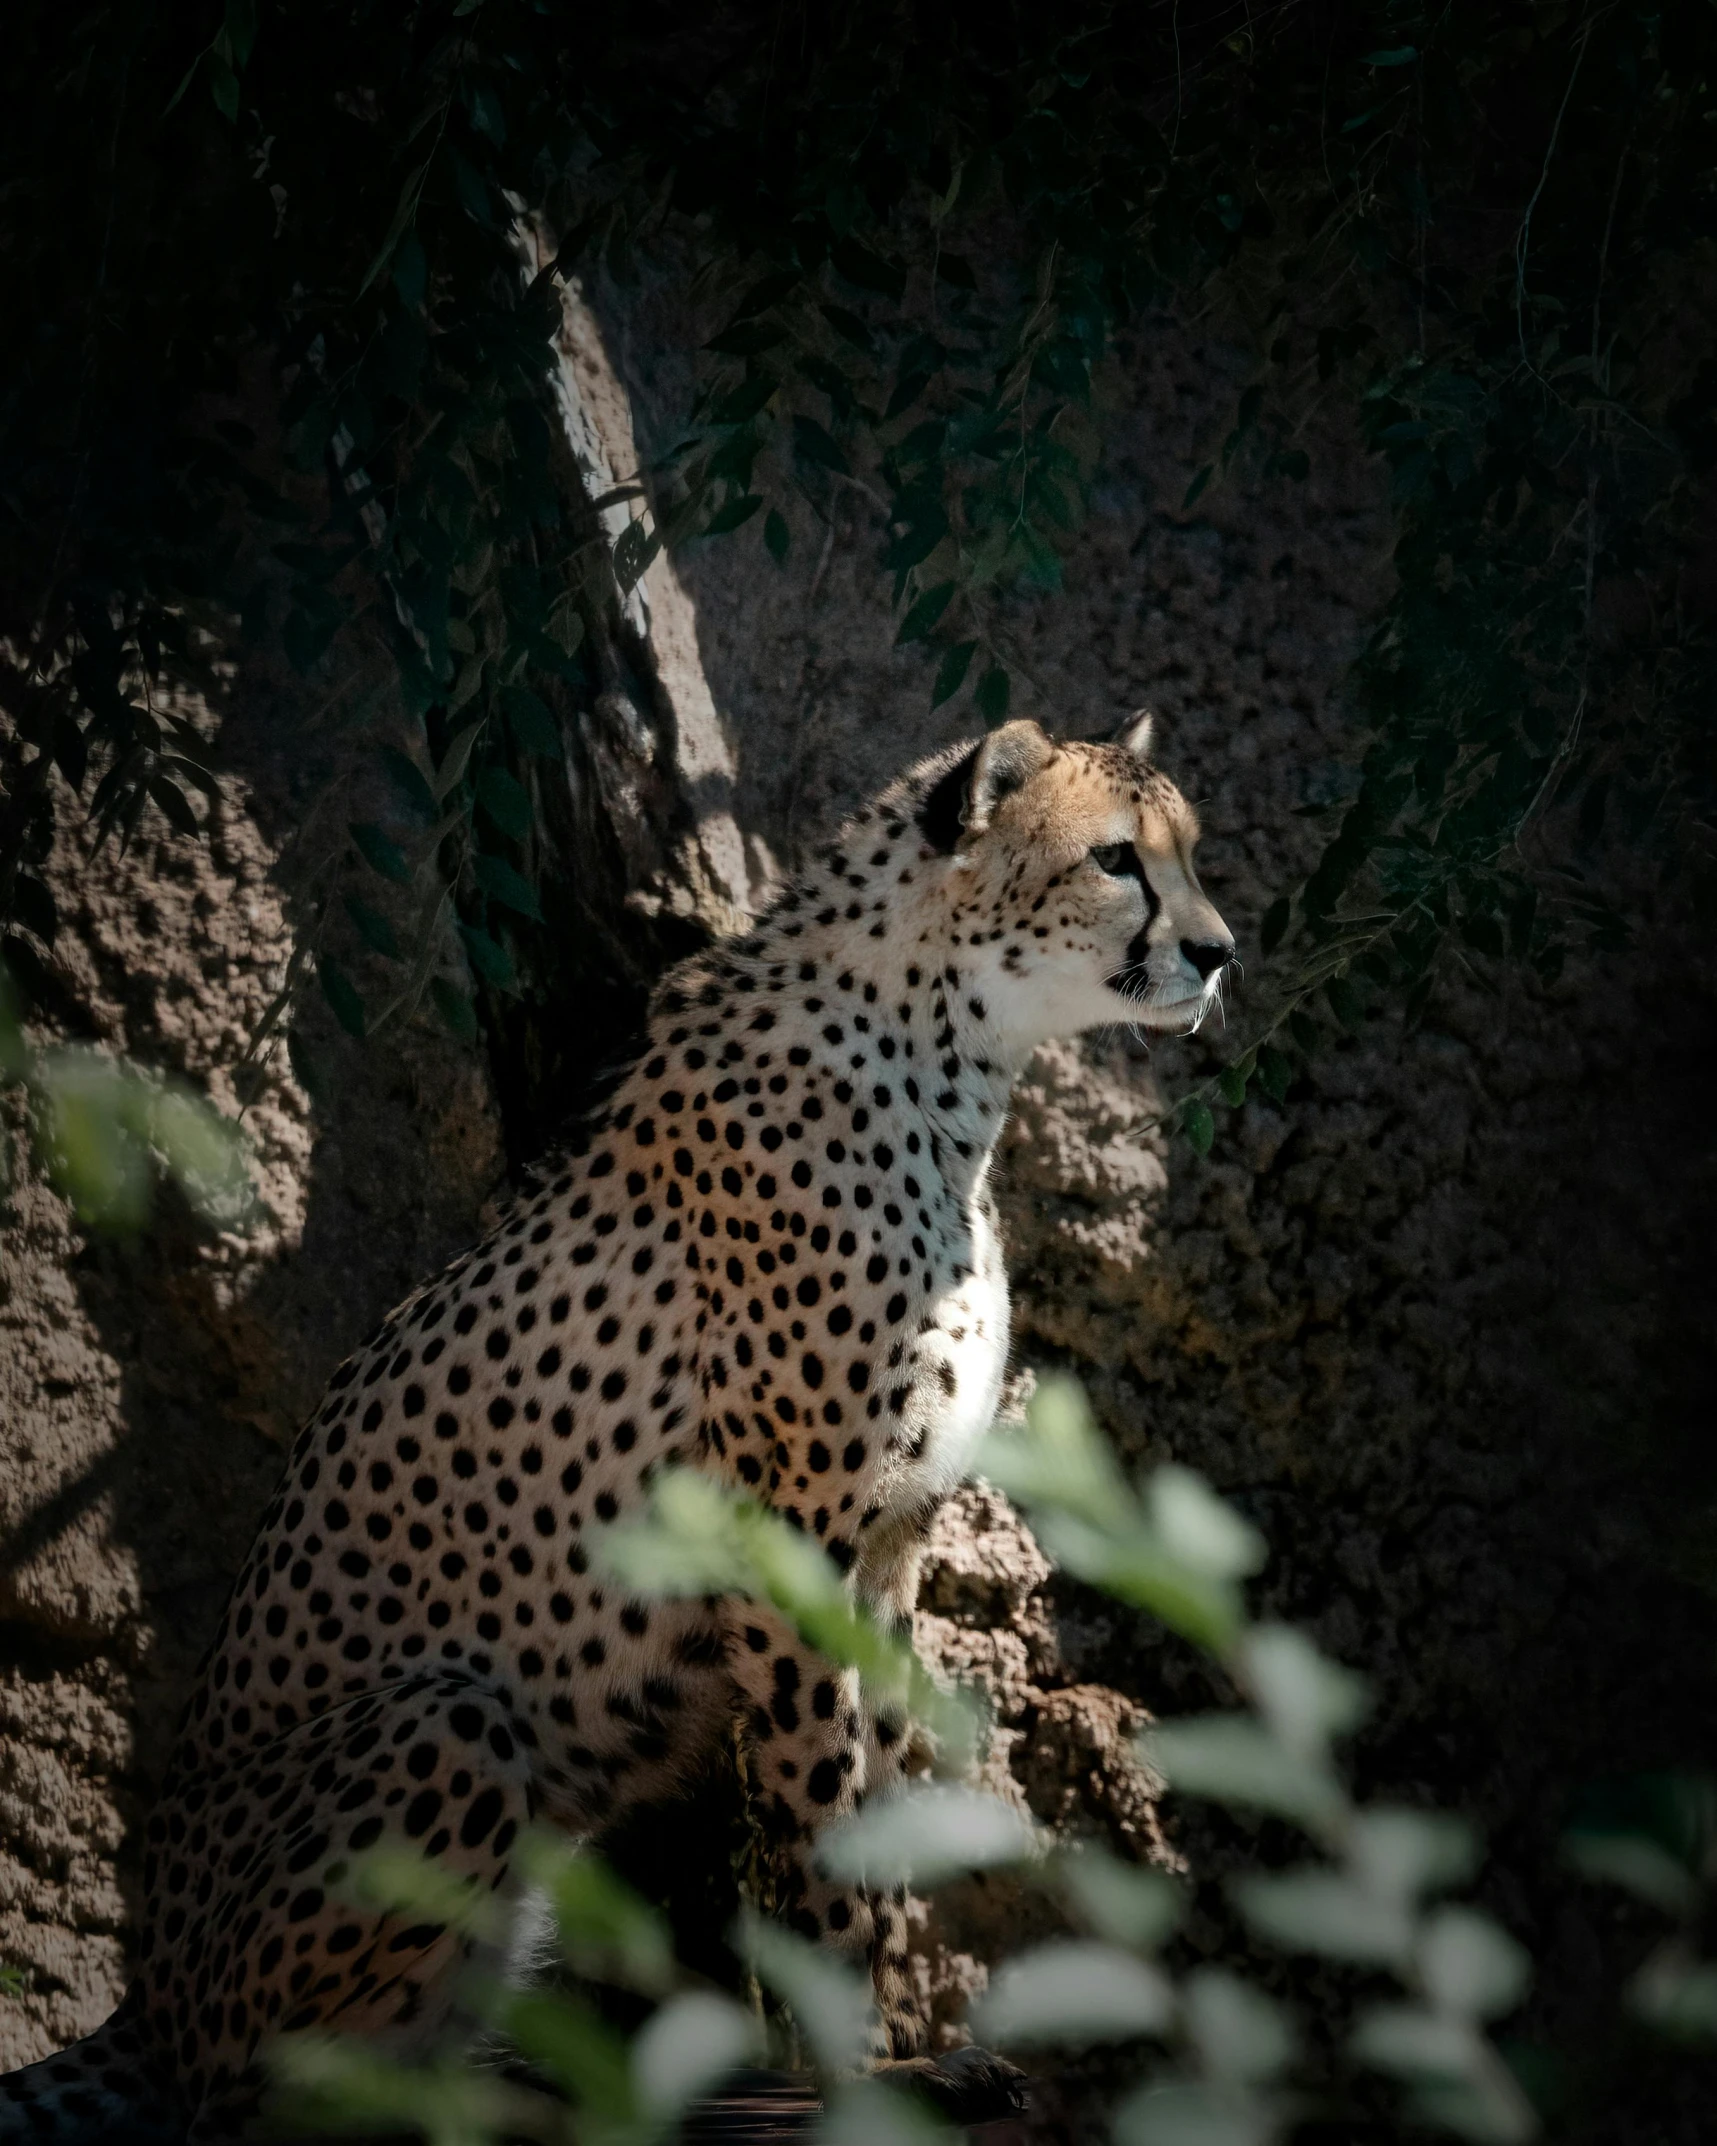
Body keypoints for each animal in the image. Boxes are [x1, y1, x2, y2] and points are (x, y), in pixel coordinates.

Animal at [0, 716, 1236, 2128]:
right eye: (1116, 859)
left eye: (1189, 851)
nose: (1217, 952)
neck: (949, 1059)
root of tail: (146, 1992)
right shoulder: (785, 1546)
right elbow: (820, 1826)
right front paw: (859, 2067)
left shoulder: (885, 1548)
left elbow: (876, 1797)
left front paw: (909, 2043)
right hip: (446, 1723)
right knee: (266, 2104)